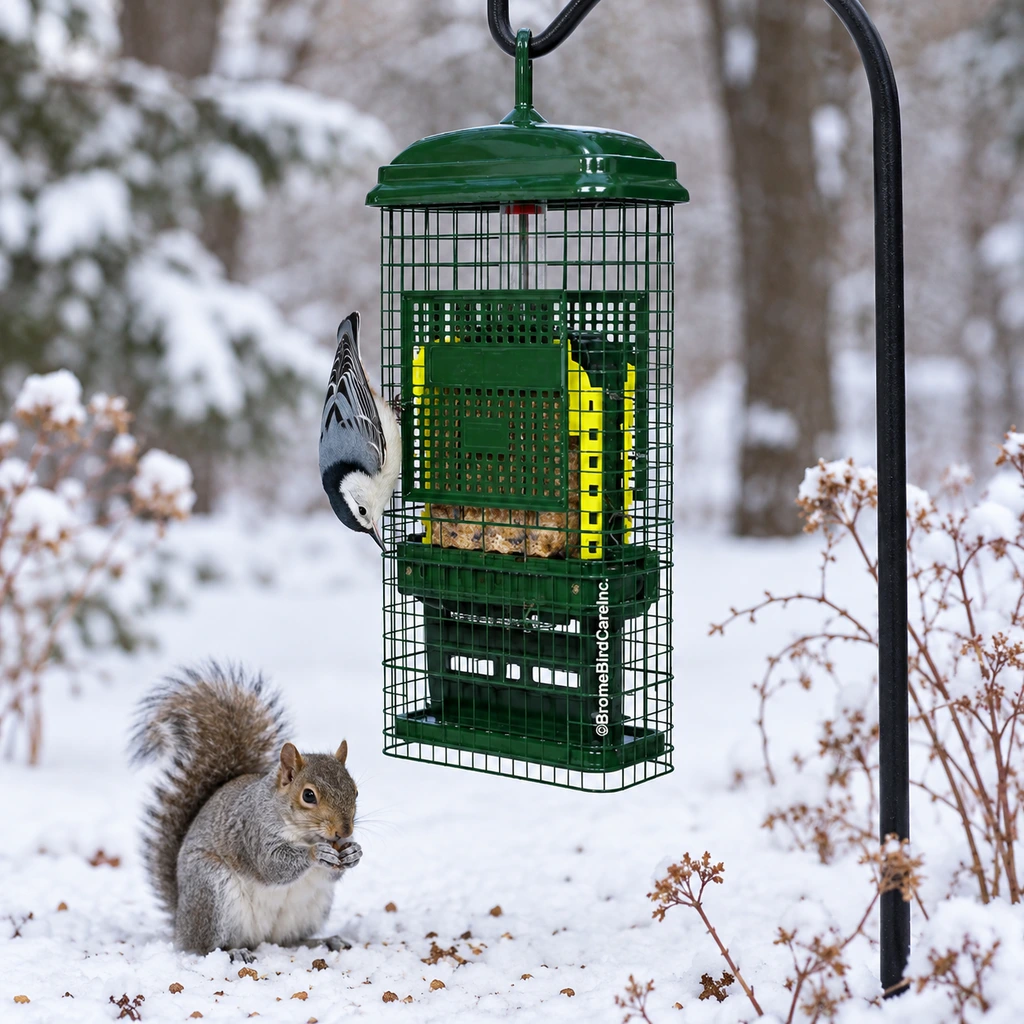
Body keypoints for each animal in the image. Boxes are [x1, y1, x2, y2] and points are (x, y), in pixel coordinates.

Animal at [130, 662, 361, 963]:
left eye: (355, 790)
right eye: (308, 795)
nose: (345, 830)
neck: (304, 833)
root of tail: (181, 921)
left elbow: (332, 872)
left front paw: (354, 851)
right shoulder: (253, 829)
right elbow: (272, 865)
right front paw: (316, 853)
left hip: (311, 907)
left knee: (289, 940)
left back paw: (324, 941)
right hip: (211, 891)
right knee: (205, 947)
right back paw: (235, 952)